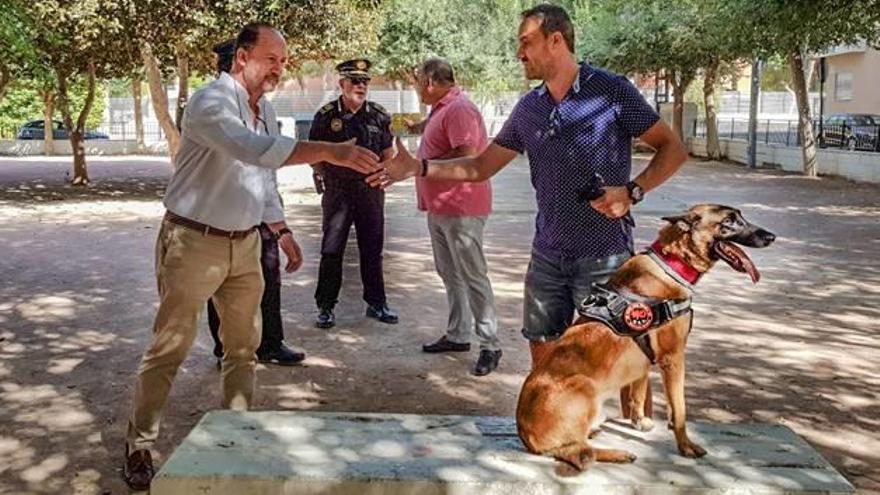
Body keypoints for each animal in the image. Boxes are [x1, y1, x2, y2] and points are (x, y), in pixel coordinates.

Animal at [516, 204, 776, 472]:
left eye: (740, 217)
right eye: (729, 222)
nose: (771, 237)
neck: (673, 262)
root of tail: (526, 435)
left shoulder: (643, 363)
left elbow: (637, 394)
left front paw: (639, 420)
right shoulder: (673, 359)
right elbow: (680, 410)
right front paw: (685, 446)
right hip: (584, 384)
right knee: (578, 451)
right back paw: (616, 453)